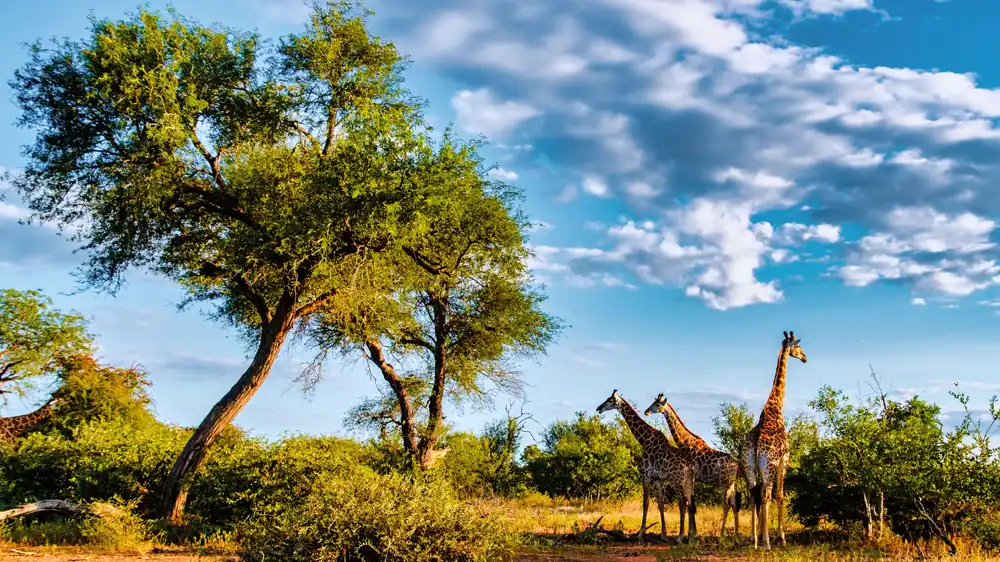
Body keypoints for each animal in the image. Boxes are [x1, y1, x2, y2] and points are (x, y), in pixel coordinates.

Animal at [597, 390, 696, 543]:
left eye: (610, 400)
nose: (599, 408)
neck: (644, 439)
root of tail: (690, 465)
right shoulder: (657, 478)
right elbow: (660, 503)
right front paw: (663, 535)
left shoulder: (645, 475)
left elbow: (646, 503)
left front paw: (641, 533)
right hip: (689, 481)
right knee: (690, 502)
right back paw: (690, 536)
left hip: (677, 480)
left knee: (682, 502)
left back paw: (680, 537)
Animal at [644, 393, 742, 537]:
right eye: (653, 402)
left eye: (657, 404)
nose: (646, 411)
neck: (685, 442)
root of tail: (736, 465)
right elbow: (692, 503)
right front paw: (693, 532)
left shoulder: (692, 476)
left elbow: (691, 502)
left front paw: (691, 533)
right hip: (731, 483)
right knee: (734, 505)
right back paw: (736, 533)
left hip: (725, 483)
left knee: (726, 505)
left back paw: (722, 534)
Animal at [742, 330, 807, 549]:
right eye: (798, 346)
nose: (805, 358)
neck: (776, 407)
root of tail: (755, 447)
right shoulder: (783, 461)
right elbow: (780, 496)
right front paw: (781, 538)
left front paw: (761, 536)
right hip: (768, 465)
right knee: (767, 496)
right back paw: (768, 543)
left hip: (749, 467)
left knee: (755, 495)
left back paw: (754, 540)